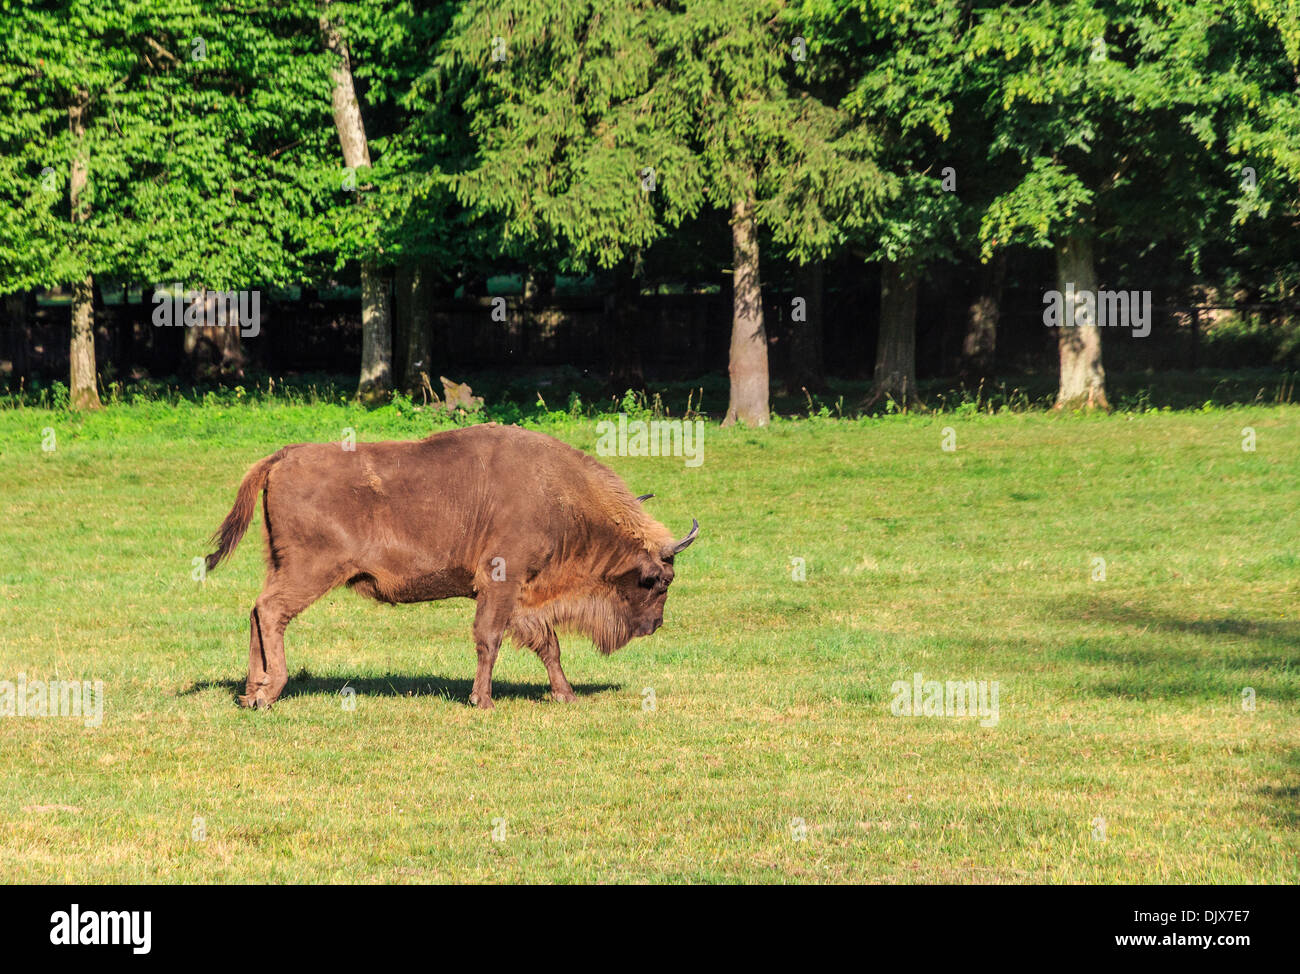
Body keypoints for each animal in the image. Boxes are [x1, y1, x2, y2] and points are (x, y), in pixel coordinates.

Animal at [204, 421, 702, 712]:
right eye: (660, 581)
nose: (654, 625)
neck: (557, 495)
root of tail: (283, 456)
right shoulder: (500, 584)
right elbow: (490, 639)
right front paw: (483, 701)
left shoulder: (523, 596)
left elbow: (548, 645)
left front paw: (565, 694)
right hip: (309, 572)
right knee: (271, 612)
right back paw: (270, 693)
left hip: (280, 567)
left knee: (257, 611)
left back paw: (251, 693)